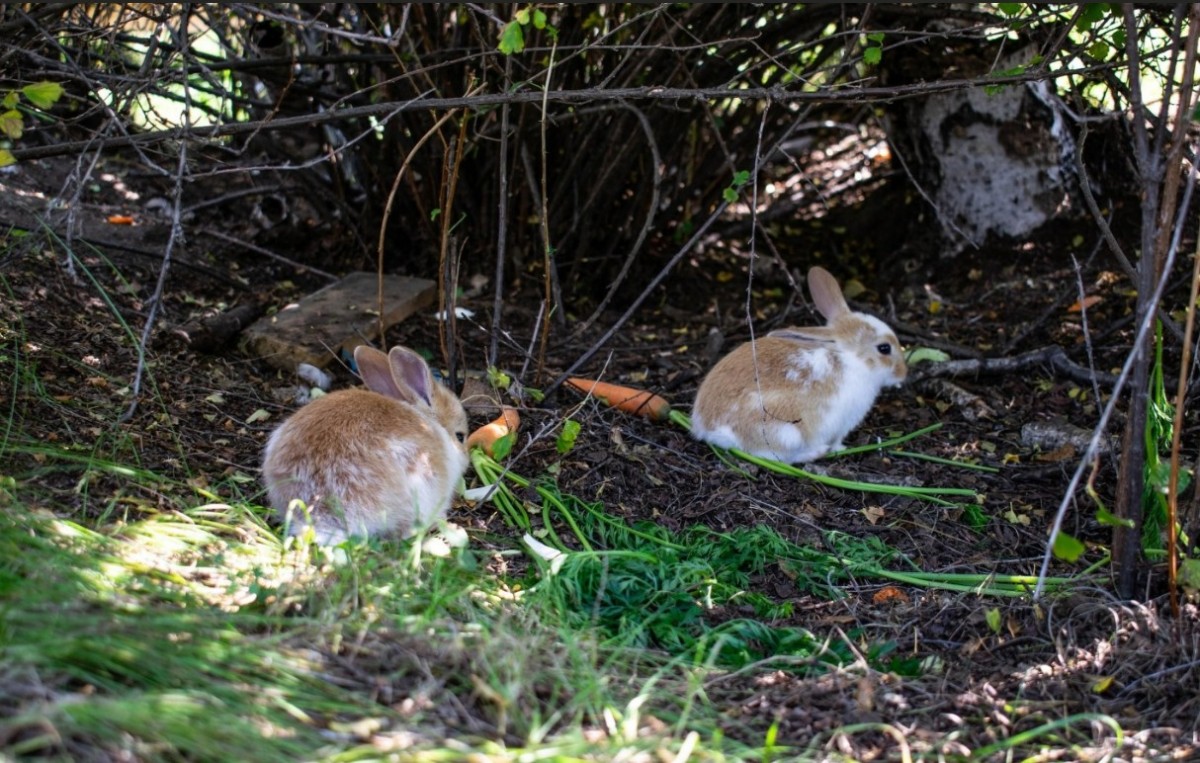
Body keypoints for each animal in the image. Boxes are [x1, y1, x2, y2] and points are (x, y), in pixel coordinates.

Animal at [691, 265, 902, 463]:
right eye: (884, 348)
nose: (903, 372)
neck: (852, 357)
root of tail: (707, 428)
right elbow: (837, 440)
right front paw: (840, 448)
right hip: (787, 432)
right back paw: (816, 452)